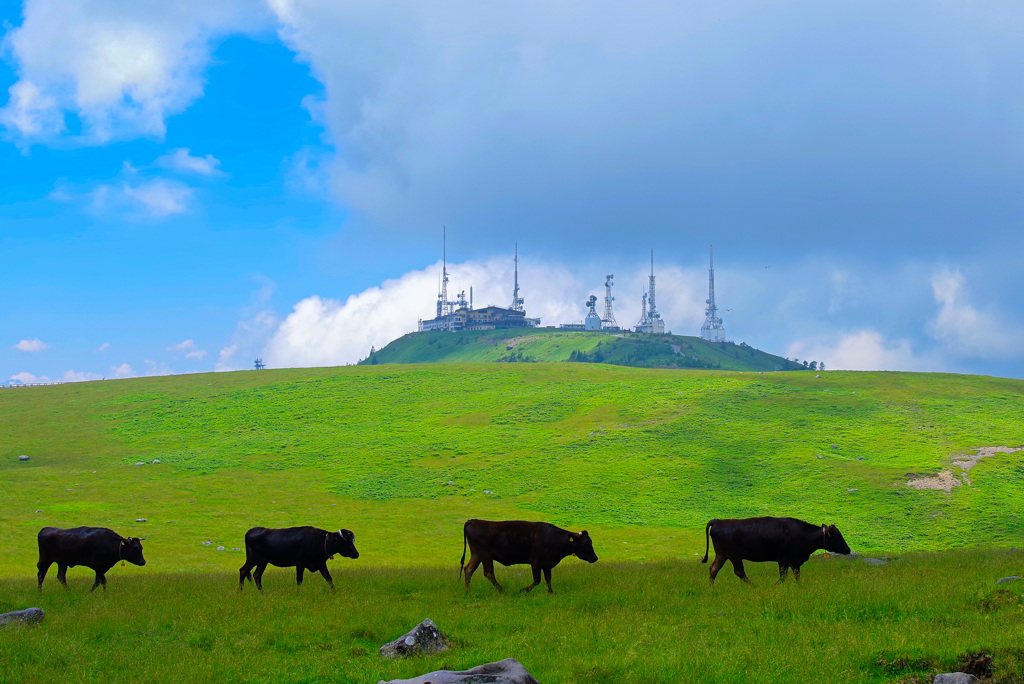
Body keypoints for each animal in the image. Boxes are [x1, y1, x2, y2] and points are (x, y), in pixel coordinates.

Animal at [460, 518, 598, 593]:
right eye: (586, 544)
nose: (595, 558)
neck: (552, 537)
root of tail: (474, 521)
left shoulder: (547, 564)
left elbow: (548, 579)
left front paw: (551, 592)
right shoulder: (535, 561)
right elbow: (537, 580)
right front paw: (523, 590)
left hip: (477, 555)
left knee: (468, 570)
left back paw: (468, 591)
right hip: (486, 556)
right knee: (488, 573)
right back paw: (502, 591)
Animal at [700, 516, 851, 585]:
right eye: (837, 536)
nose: (847, 549)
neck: (803, 533)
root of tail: (717, 521)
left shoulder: (794, 562)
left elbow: (797, 575)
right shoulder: (783, 560)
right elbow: (783, 576)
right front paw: (776, 585)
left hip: (722, 555)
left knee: (713, 569)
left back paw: (712, 587)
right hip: (734, 556)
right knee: (738, 571)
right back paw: (754, 586)